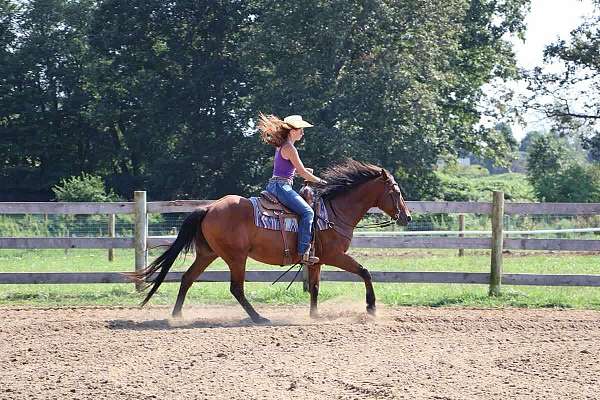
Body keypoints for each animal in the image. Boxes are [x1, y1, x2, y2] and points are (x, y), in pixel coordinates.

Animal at [131, 158, 412, 324]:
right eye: (396, 191)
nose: (407, 216)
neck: (332, 213)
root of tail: (209, 208)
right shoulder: (335, 256)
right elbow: (364, 271)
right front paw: (371, 307)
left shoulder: (316, 261)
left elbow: (315, 287)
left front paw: (314, 315)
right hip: (235, 257)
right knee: (236, 288)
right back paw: (259, 318)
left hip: (208, 253)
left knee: (188, 278)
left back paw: (177, 316)